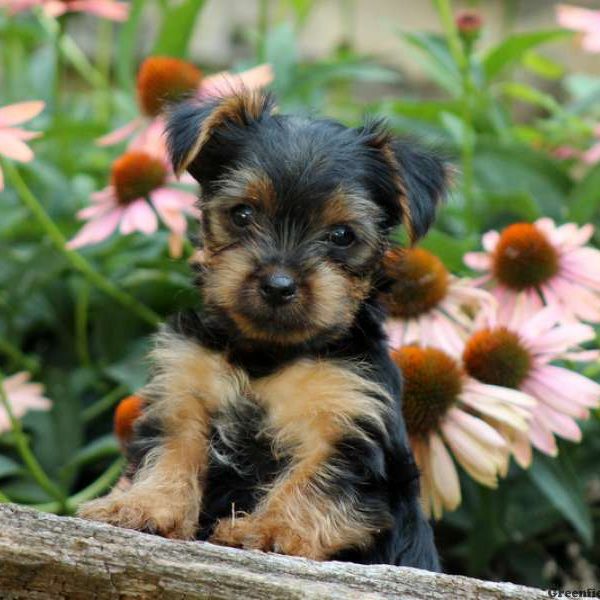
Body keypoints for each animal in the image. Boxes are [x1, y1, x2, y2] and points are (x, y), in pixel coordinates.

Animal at [78, 89, 446, 568]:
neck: (267, 352)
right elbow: (171, 452)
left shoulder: (349, 424)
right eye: (243, 214)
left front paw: (270, 530)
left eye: (342, 235)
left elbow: (315, 482)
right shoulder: (184, 391)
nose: (278, 284)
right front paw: (141, 505)